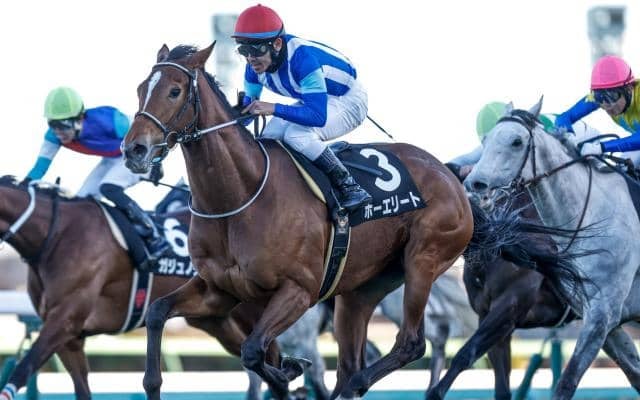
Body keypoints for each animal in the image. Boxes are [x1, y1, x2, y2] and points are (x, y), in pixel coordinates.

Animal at [0, 176, 279, 400]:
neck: (56, 236)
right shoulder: (71, 338)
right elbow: (81, 389)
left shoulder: (65, 320)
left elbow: (23, 368)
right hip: (215, 319)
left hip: (252, 311)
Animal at [465, 98, 640, 399]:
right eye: (485, 140)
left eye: (516, 141)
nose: (476, 184)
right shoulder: (602, 318)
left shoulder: (602, 313)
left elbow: (566, 382)